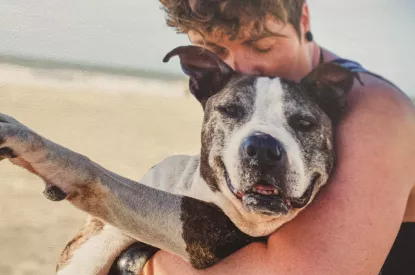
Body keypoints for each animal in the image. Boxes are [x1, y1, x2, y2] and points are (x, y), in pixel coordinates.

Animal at [0, 45, 358, 274]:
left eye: (304, 123)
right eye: (230, 110)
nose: (264, 149)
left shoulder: (196, 232)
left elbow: (97, 175)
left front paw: (29, 143)